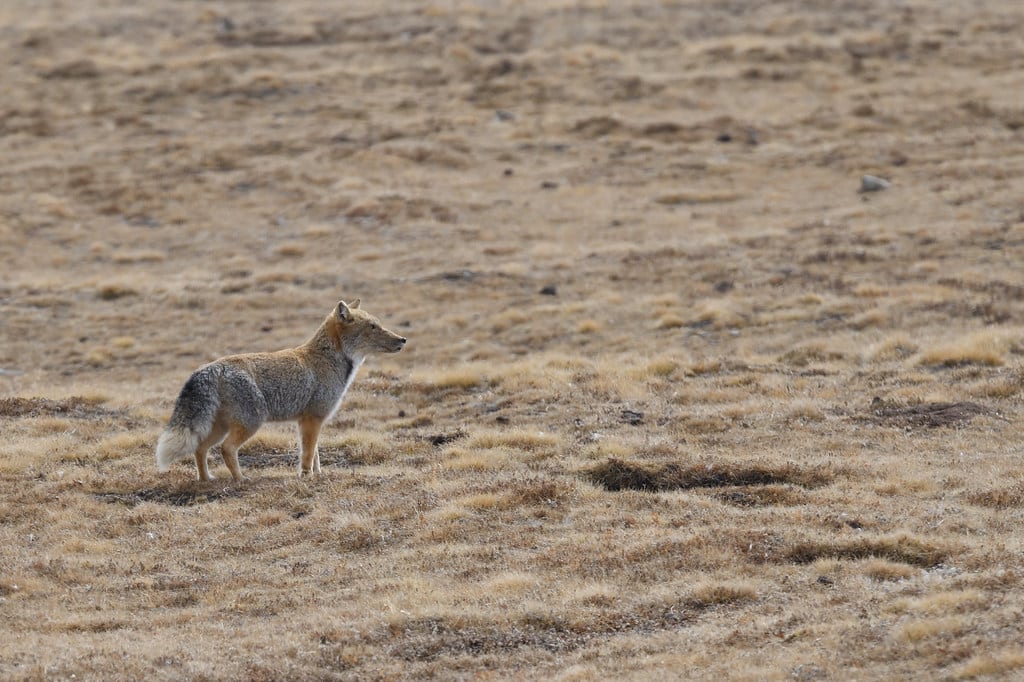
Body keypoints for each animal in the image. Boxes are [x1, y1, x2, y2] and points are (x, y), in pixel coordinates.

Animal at [155, 299, 406, 481]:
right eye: (373, 327)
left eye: (378, 324)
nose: (403, 339)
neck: (328, 358)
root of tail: (211, 368)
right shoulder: (312, 418)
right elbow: (307, 454)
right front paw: (306, 476)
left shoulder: (309, 421)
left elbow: (314, 452)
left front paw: (317, 474)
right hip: (251, 422)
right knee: (226, 449)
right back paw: (240, 479)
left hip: (220, 426)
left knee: (200, 448)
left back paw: (206, 479)